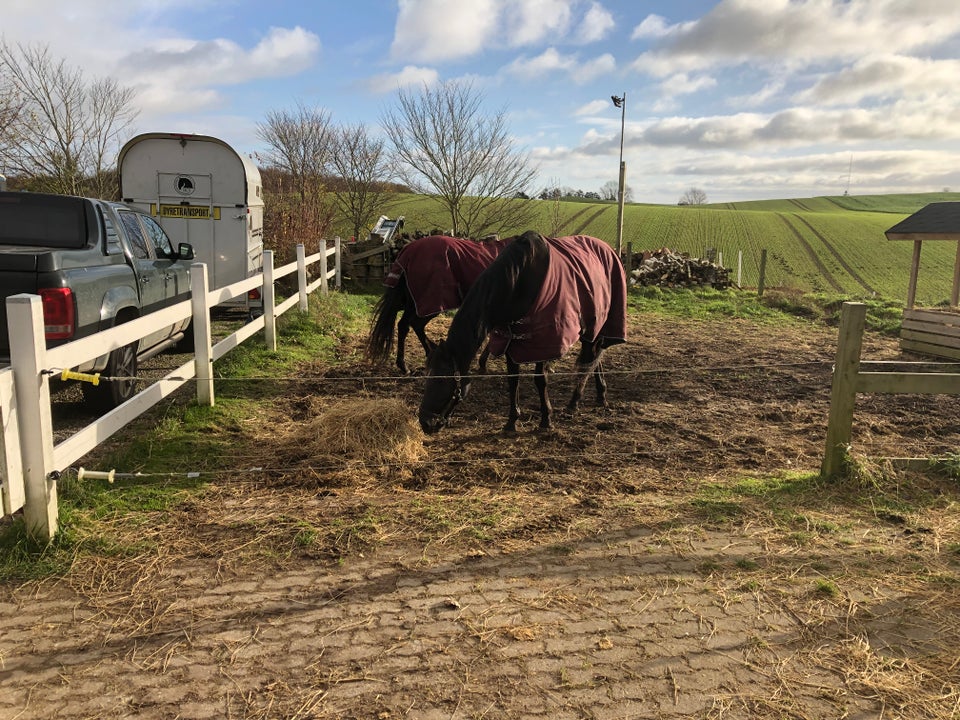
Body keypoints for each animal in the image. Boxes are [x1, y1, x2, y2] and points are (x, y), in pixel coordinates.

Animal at [366, 235, 510, 374]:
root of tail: (408, 250)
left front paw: (483, 363)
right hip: (428, 304)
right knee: (410, 325)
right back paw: (412, 362)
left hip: (414, 304)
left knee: (409, 325)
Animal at [420, 231, 632, 434]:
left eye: (442, 380)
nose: (425, 423)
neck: (517, 282)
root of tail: (609, 249)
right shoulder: (509, 340)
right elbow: (513, 380)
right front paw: (512, 421)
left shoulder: (544, 342)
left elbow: (540, 380)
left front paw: (546, 419)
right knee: (595, 358)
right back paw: (600, 395)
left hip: (594, 325)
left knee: (588, 360)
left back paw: (574, 403)